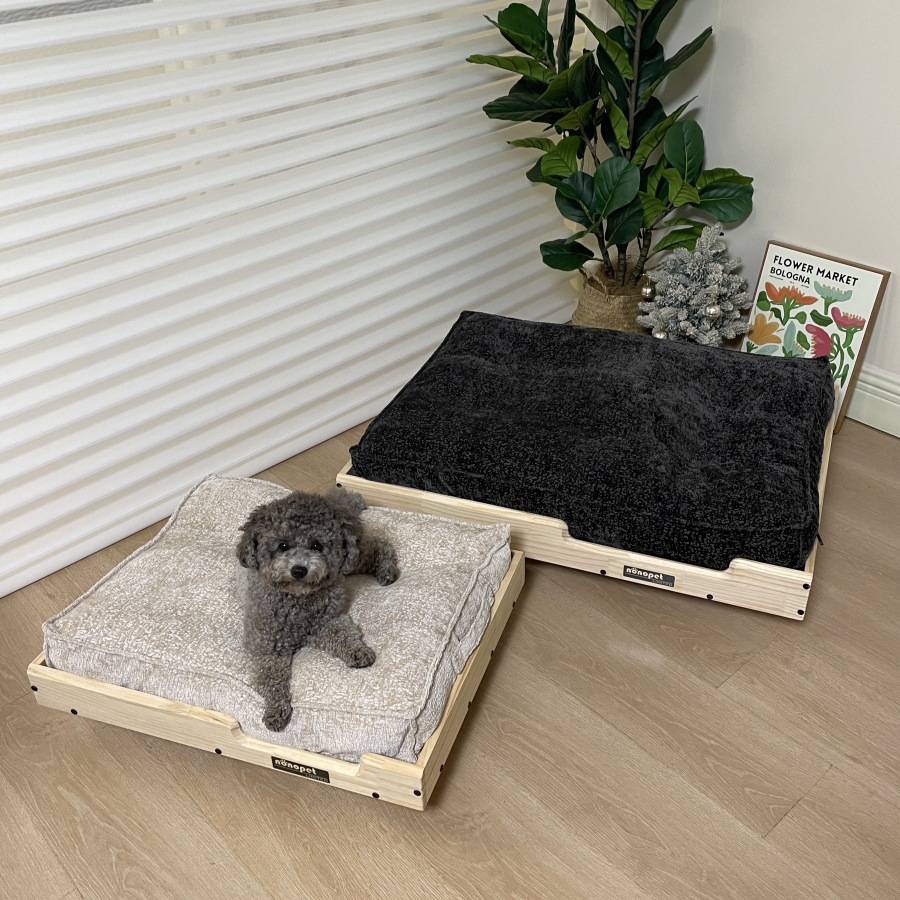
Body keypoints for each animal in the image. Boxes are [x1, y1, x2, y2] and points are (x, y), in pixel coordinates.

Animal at [236, 487, 399, 731]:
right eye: (283, 545)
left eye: (316, 546)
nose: (299, 570)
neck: (297, 598)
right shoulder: (267, 644)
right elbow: (270, 678)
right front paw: (276, 709)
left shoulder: (329, 620)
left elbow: (343, 635)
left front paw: (359, 652)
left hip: (351, 561)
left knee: (377, 546)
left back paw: (387, 570)